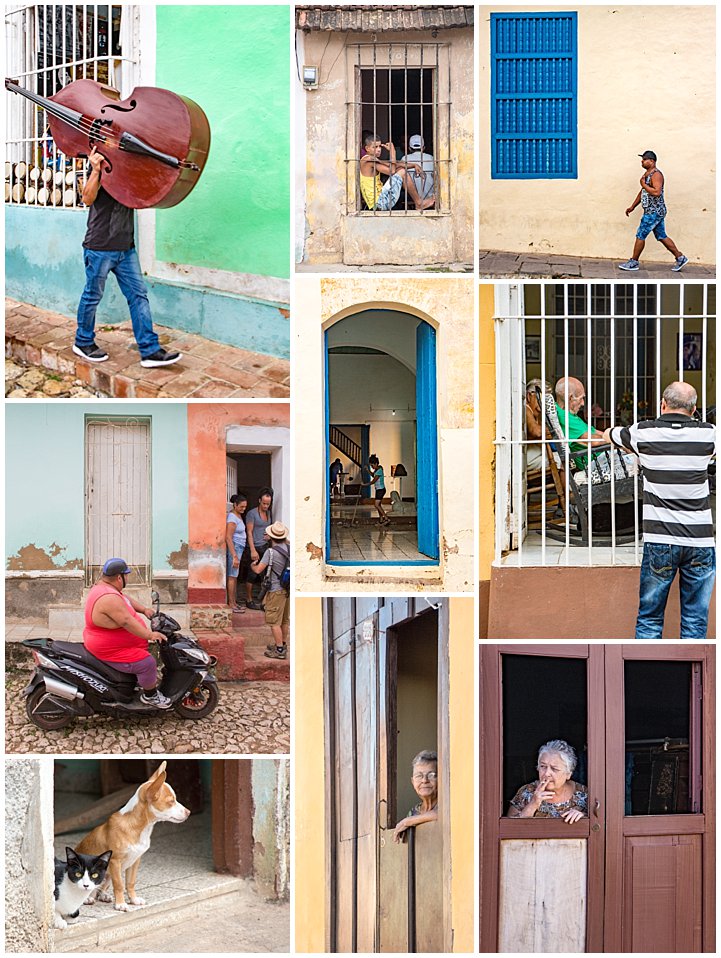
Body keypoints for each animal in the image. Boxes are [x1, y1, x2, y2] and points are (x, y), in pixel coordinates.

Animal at [75, 760, 188, 912]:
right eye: (171, 802)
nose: (189, 812)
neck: (142, 829)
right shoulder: (115, 862)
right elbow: (119, 884)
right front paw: (121, 904)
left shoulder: (135, 861)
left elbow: (130, 883)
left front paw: (133, 900)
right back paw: (87, 899)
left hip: (107, 875)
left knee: (100, 890)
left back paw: (103, 896)